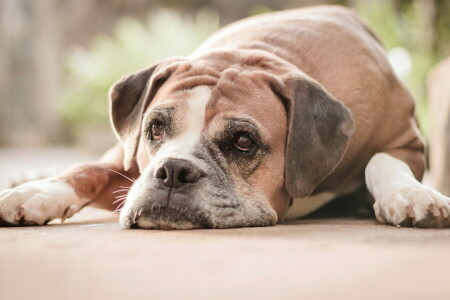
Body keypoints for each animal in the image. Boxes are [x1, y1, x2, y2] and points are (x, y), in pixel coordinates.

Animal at [0, 5, 450, 229]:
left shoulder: (407, 142)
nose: (173, 171)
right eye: (155, 129)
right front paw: (35, 194)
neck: (260, 54)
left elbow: (381, 161)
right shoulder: (127, 161)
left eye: (243, 141)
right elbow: (87, 170)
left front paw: (411, 196)